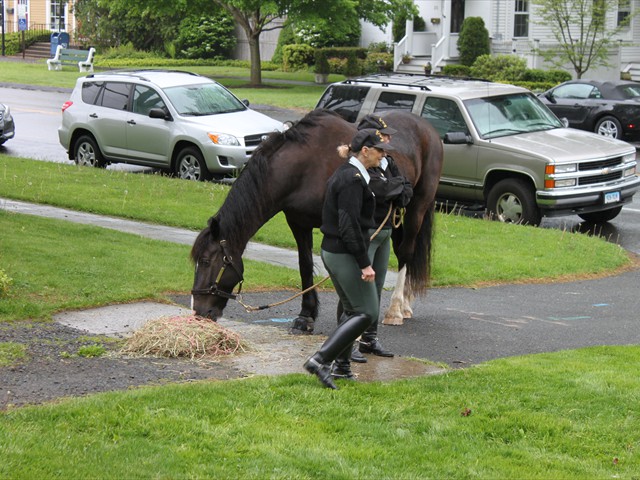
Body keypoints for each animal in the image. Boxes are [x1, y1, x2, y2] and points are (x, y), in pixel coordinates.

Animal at [190, 109, 443, 332]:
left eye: (206, 261)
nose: (198, 312)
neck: (304, 166)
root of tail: (428, 128)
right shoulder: (298, 223)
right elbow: (305, 265)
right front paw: (306, 316)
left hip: (417, 208)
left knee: (406, 253)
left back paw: (396, 310)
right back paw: (406, 305)